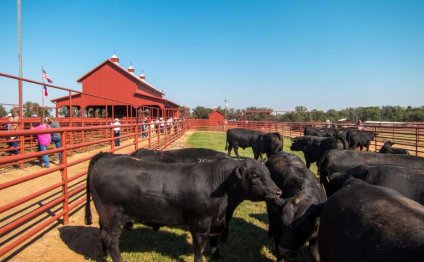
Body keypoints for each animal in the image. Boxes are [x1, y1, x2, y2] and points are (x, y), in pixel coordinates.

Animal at [83, 152, 282, 260]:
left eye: (268, 173)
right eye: (255, 176)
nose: (278, 192)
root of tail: (106, 156)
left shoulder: (217, 222)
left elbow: (214, 242)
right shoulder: (200, 223)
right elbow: (200, 246)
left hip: (105, 216)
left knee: (102, 233)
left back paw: (105, 255)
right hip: (112, 214)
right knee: (111, 239)